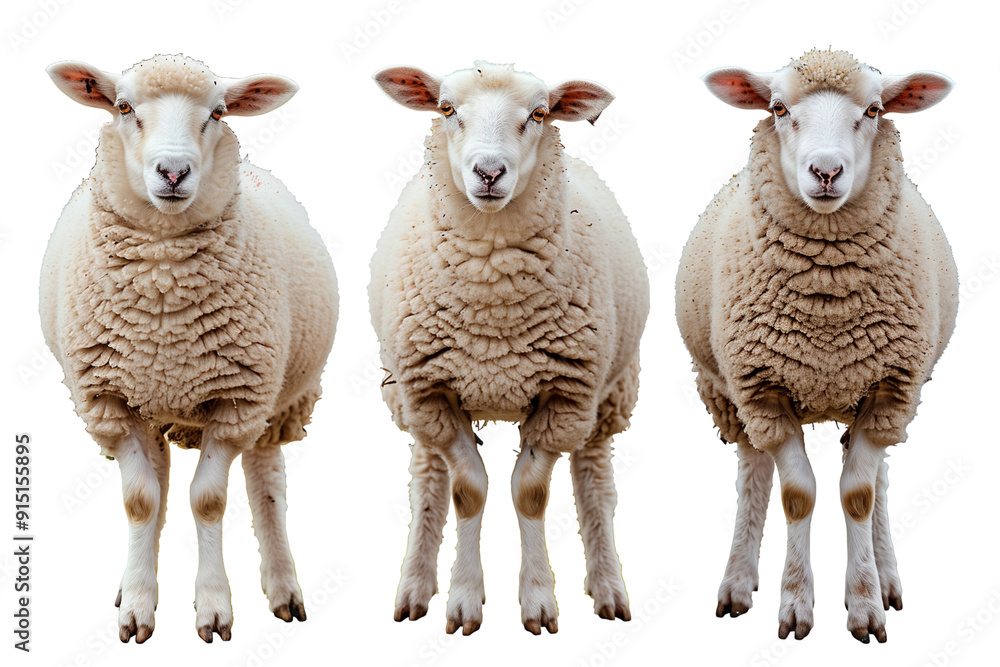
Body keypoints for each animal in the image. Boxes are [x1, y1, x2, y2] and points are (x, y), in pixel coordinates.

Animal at [41, 55, 337, 644]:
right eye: (122, 106)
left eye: (218, 113)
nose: (173, 172)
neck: (163, 292)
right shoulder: (111, 401)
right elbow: (140, 501)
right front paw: (137, 606)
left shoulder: (237, 400)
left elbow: (209, 500)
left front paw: (214, 608)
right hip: (151, 400)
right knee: (158, 481)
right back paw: (133, 583)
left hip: (278, 400)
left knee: (266, 484)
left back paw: (283, 588)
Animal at [371, 61, 648, 635]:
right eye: (447, 108)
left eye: (539, 114)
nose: (489, 172)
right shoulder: (432, 391)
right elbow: (468, 491)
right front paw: (463, 600)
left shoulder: (565, 395)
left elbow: (531, 494)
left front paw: (538, 601)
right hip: (405, 394)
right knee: (427, 480)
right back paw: (414, 587)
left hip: (609, 391)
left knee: (594, 482)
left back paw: (608, 587)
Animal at [676, 49, 956, 643]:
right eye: (778, 109)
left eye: (874, 110)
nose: (826, 172)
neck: (827, 296)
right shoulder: (763, 389)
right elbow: (796, 494)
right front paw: (795, 604)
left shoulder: (891, 386)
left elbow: (859, 495)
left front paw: (865, 603)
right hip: (728, 393)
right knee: (753, 471)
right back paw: (738, 582)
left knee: (878, 478)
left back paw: (887, 575)